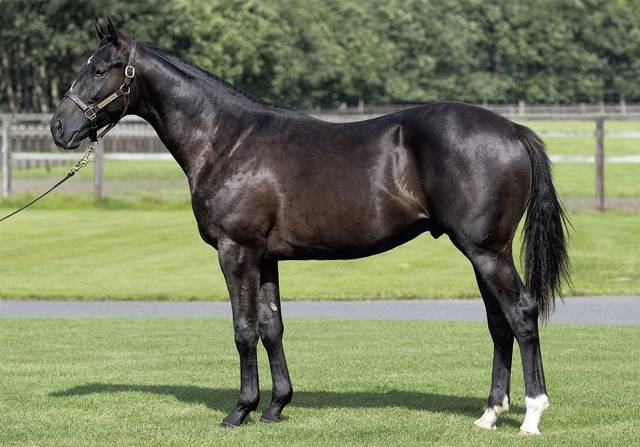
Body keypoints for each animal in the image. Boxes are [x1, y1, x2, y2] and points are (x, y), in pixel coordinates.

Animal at [50, 19, 570, 435]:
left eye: (100, 70)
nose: (59, 127)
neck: (228, 140)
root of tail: (512, 130)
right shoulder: (265, 258)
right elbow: (271, 327)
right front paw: (276, 407)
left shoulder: (236, 252)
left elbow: (243, 330)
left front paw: (240, 410)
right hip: (482, 254)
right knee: (499, 323)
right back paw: (489, 414)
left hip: (486, 251)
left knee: (521, 314)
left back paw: (531, 416)